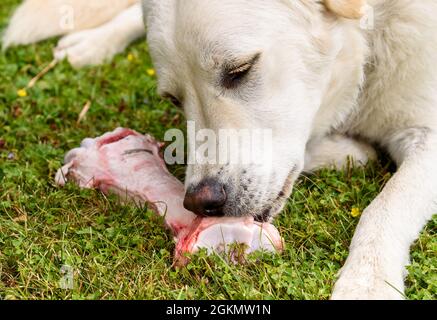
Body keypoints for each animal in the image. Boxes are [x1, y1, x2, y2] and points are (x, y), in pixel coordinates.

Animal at [4, 0, 436, 300]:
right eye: (173, 99)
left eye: (240, 70)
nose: (200, 203)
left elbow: (384, 207)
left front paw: (366, 280)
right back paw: (91, 42)